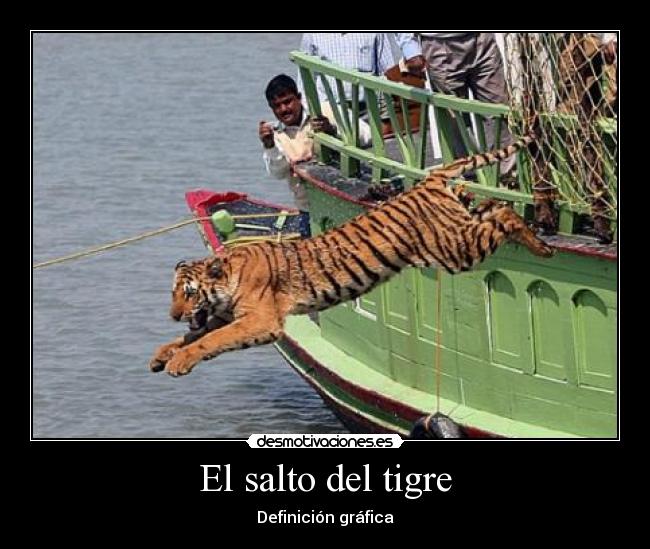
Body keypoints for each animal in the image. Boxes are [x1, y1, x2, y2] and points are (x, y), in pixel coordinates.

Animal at [149, 133, 553, 377]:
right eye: (172, 293)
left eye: (189, 293)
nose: (172, 315)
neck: (227, 281)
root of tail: (430, 178)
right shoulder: (225, 316)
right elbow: (192, 336)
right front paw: (161, 354)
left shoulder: (260, 322)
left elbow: (209, 341)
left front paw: (178, 362)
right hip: (457, 233)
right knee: (492, 206)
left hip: (456, 250)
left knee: (504, 215)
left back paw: (544, 247)